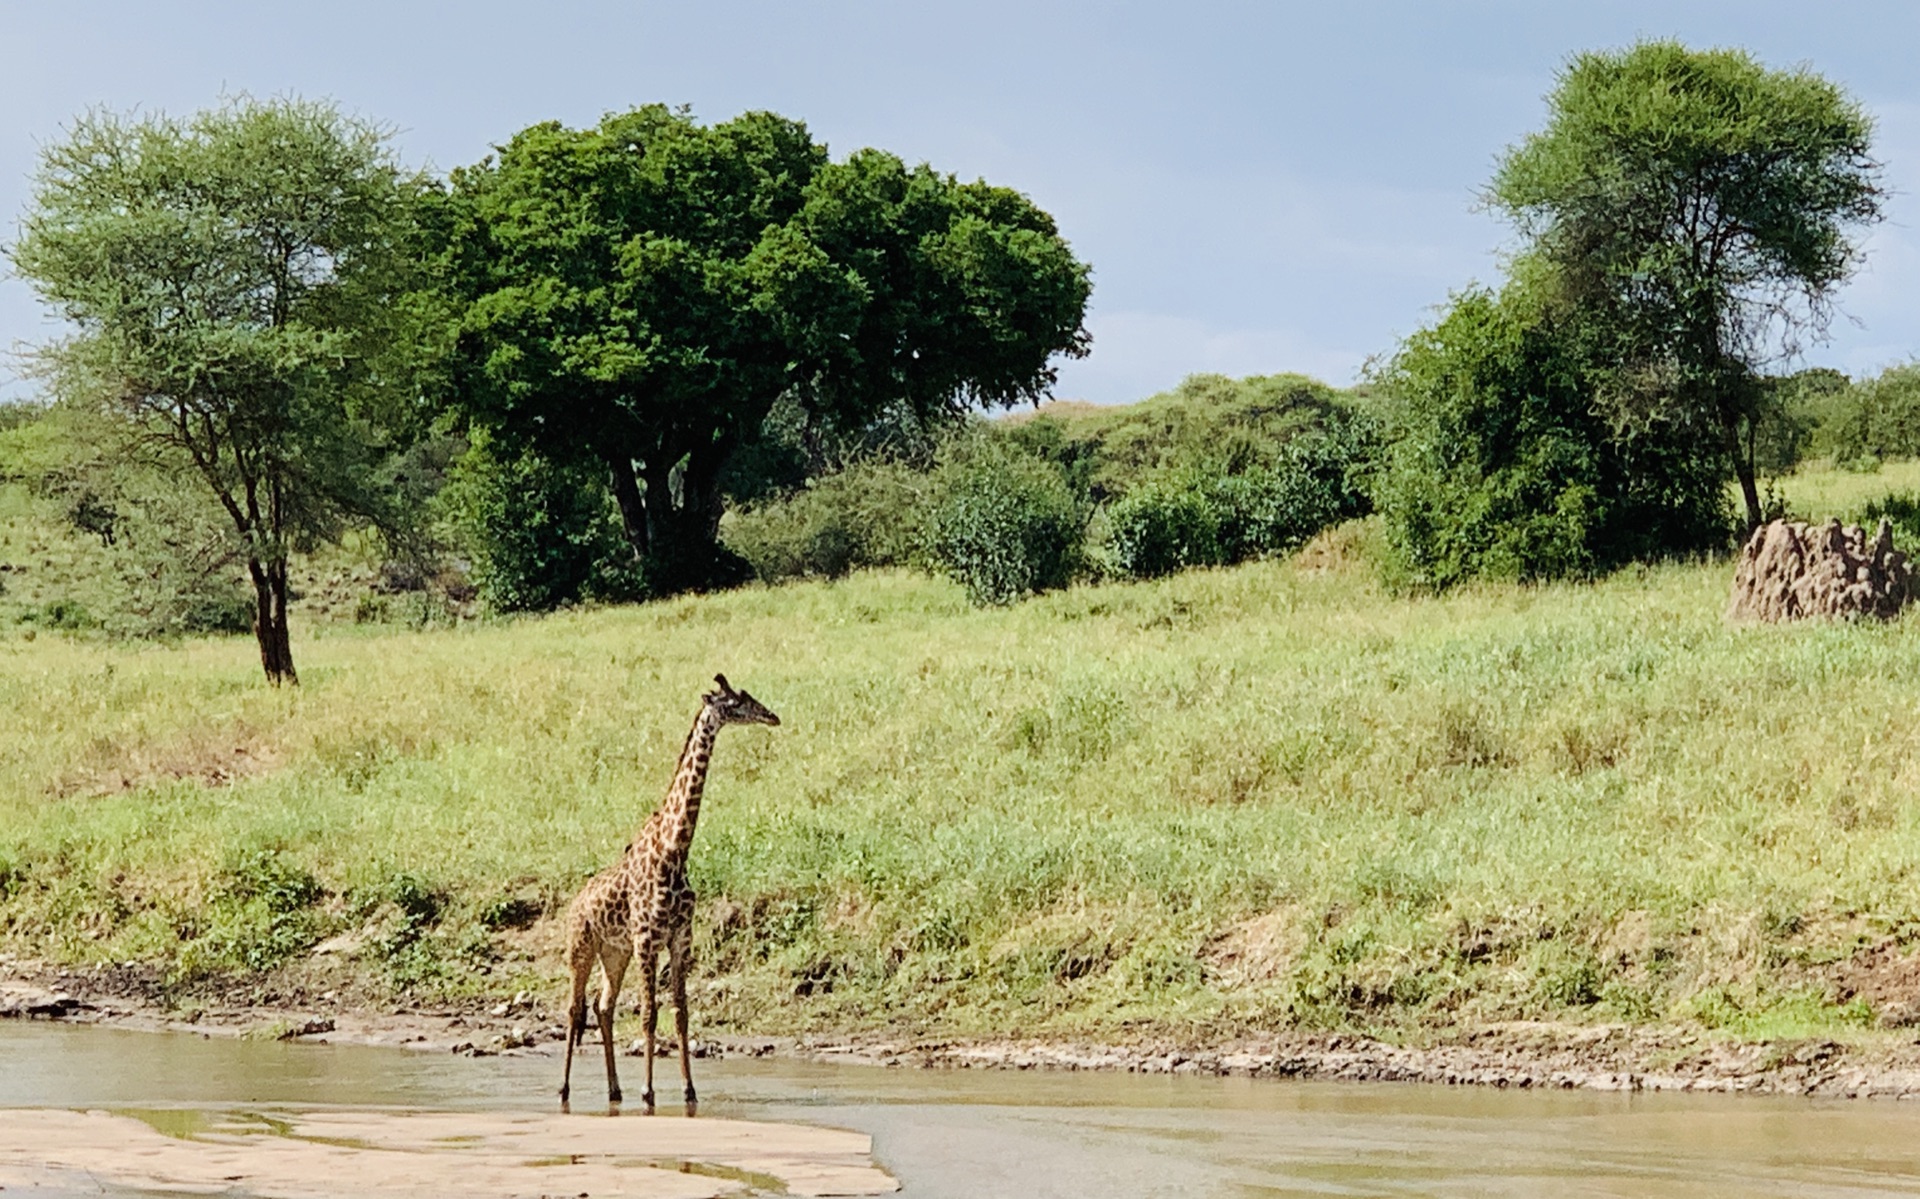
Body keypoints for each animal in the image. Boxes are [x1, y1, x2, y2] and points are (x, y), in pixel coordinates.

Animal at [560, 676, 775, 1114]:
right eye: (736, 703)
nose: (772, 716)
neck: (674, 851)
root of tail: (574, 903)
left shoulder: (679, 938)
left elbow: (680, 1013)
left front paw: (689, 1090)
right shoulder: (648, 939)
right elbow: (648, 1014)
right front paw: (649, 1092)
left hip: (615, 953)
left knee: (603, 1007)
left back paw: (614, 1090)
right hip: (582, 948)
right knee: (574, 1010)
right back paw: (566, 1089)